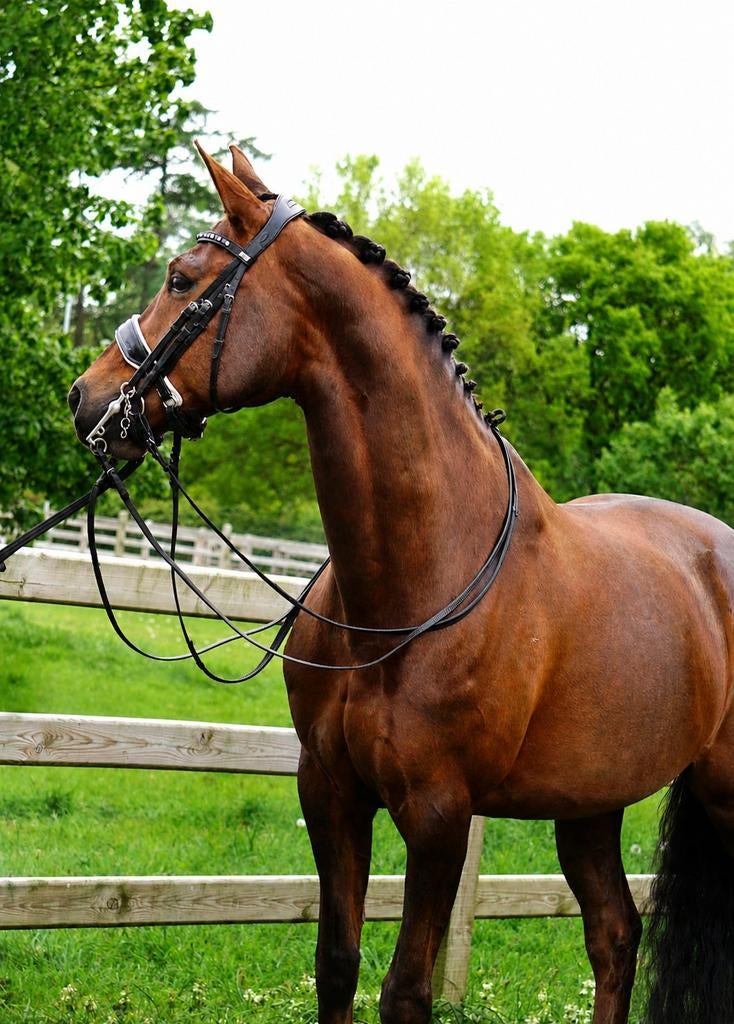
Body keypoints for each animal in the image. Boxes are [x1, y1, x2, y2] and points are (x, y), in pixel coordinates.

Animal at [68, 144, 734, 1024]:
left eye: (182, 278)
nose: (86, 399)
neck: (415, 582)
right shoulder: (331, 791)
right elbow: (337, 963)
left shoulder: (439, 815)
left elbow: (406, 991)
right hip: (590, 804)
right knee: (615, 935)